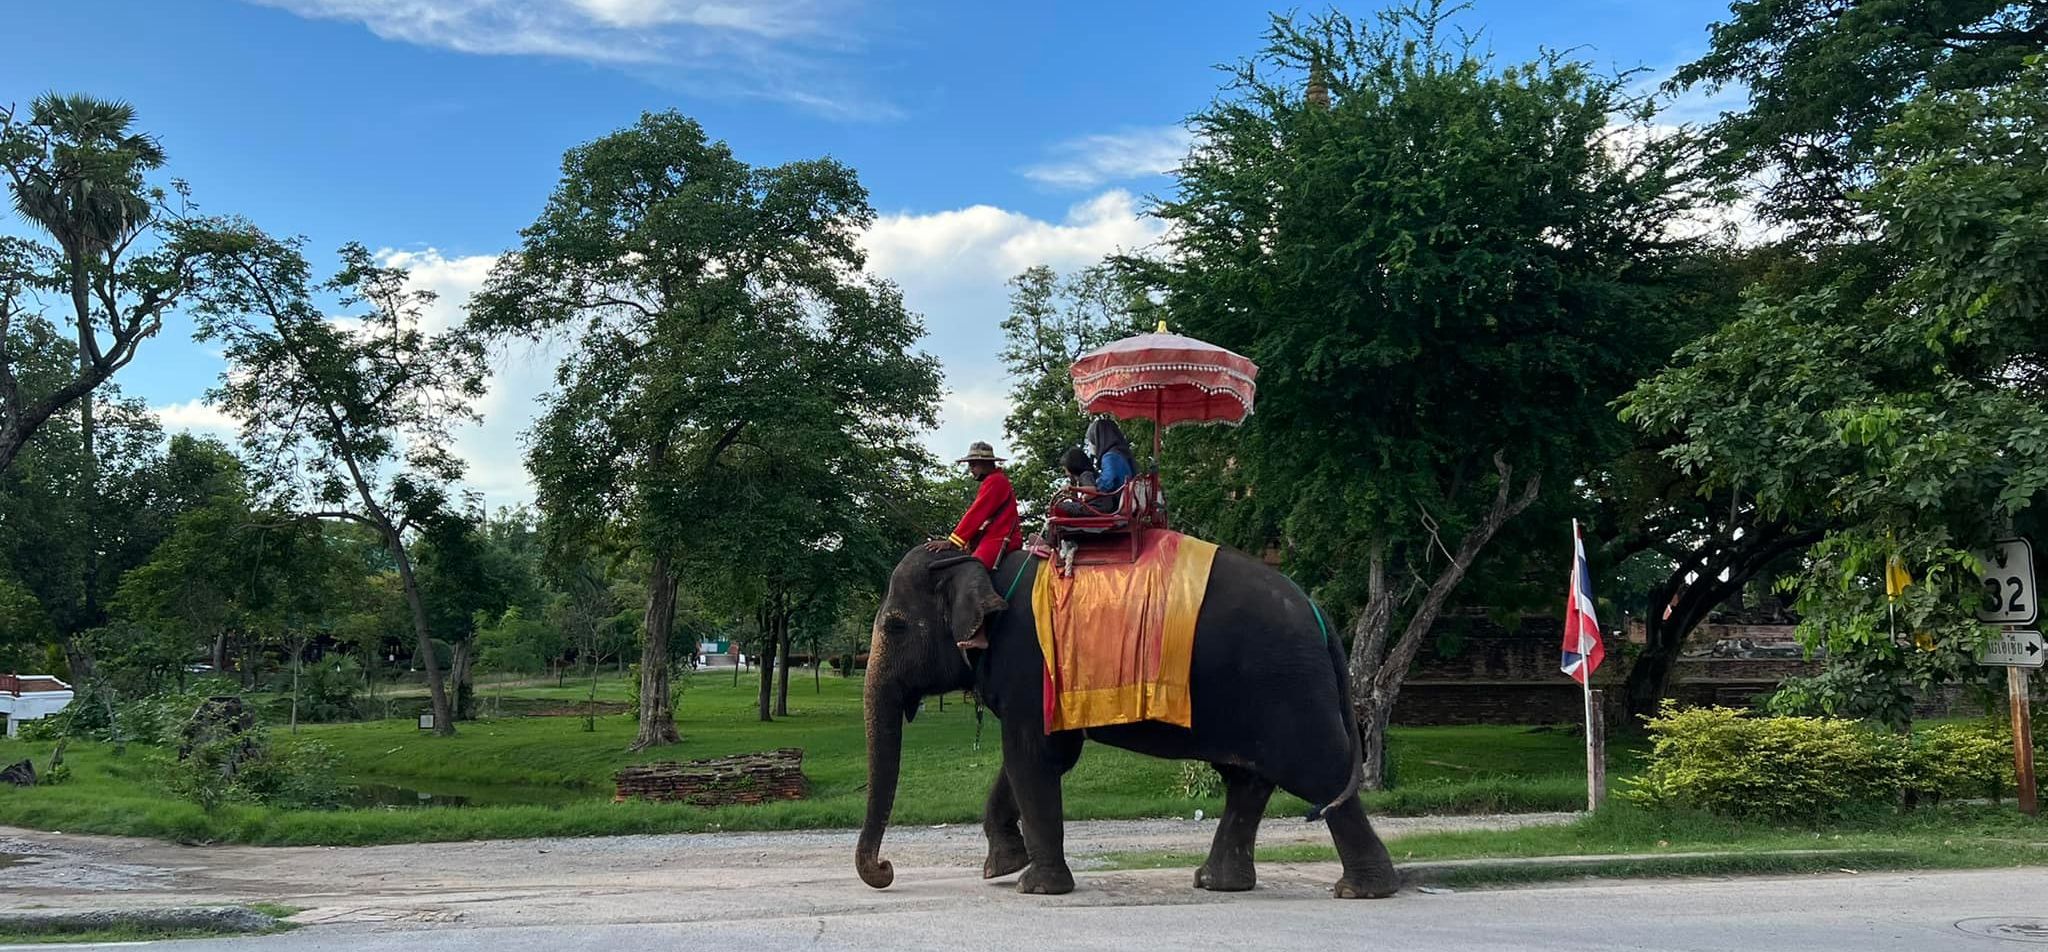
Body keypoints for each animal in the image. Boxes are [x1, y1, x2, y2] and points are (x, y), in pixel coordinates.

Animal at [851, 540, 1409, 896]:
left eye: (895, 626)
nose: (886, 869)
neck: (980, 560)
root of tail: (1320, 615)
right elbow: (1043, 757)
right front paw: (1003, 867)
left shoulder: (1029, 662)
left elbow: (1032, 757)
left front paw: (1035, 887)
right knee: (1248, 779)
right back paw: (1218, 883)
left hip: (1286, 688)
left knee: (1318, 773)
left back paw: (1361, 891)